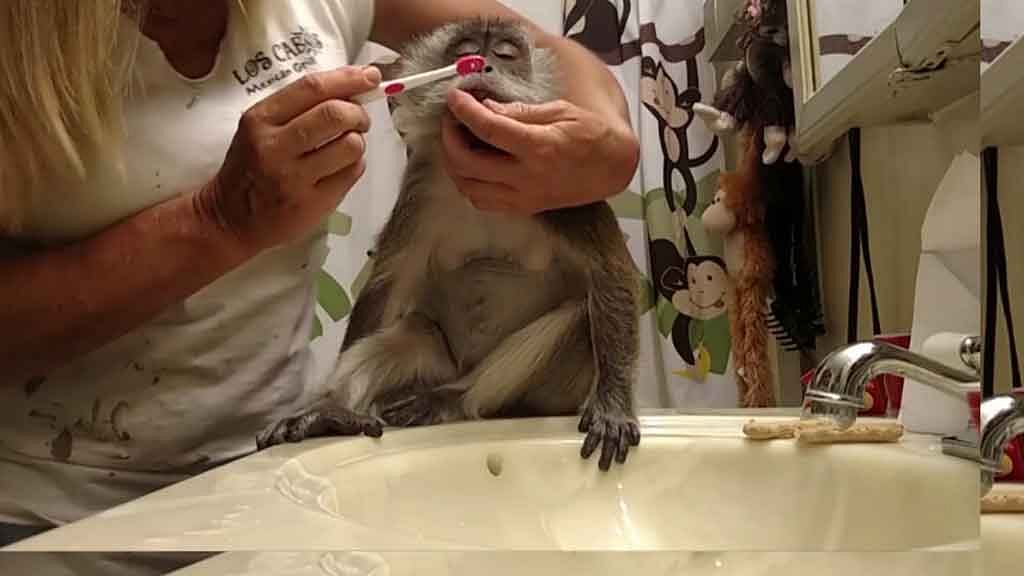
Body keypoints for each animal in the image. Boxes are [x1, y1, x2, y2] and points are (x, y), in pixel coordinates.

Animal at [256, 17, 638, 469]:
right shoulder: (422, 184)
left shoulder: (564, 184)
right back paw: (334, 411)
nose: (483, 66)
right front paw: (329, 405)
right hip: (438, 362)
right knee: (415, 328)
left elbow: (611, 271)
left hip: (554, 390)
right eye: (466, 53)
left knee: (578, 315)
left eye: (506, 55)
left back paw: (451, 400)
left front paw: (613, 405)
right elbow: (386, 284)